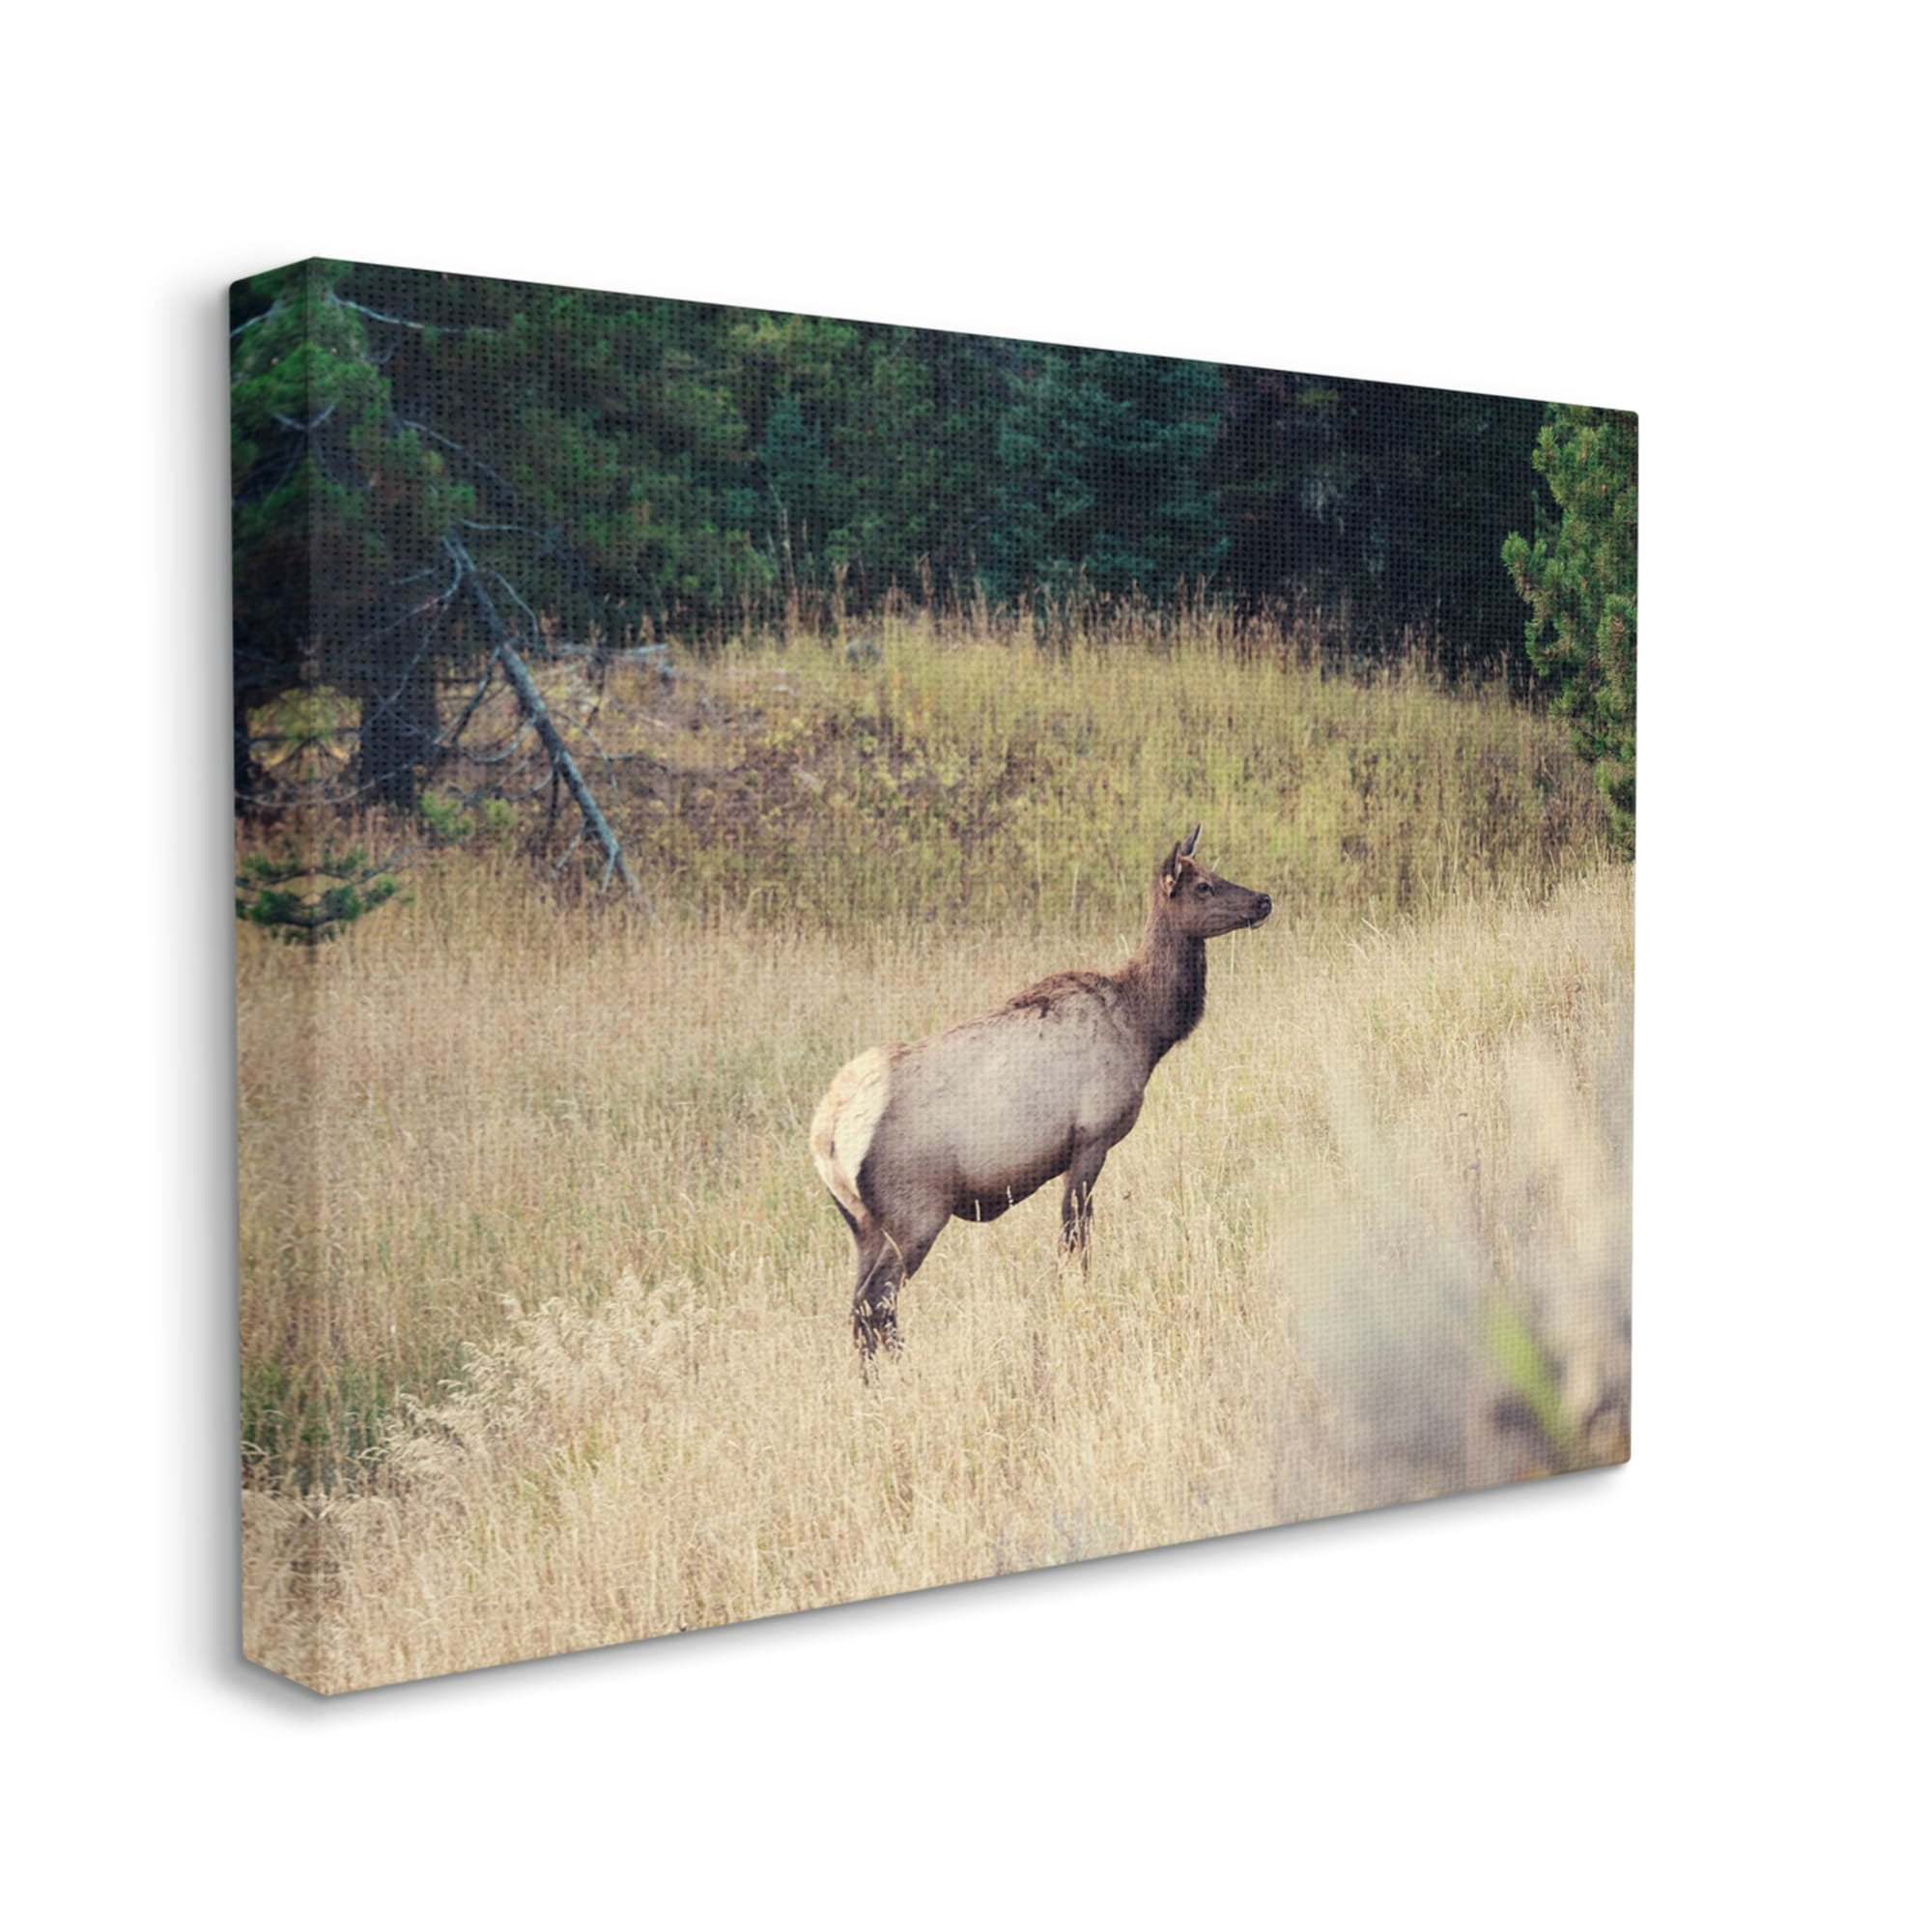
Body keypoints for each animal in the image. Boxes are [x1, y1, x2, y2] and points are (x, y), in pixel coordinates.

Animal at [809, 827, 1272, 1356]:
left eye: (1215, 872)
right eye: (1203, 887)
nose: (1264, 899)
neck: (1146, 1029)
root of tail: (827, 1135)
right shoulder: (1092, 1137)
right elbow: (1075, 1235)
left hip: (862, 1223)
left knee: (859, 1305)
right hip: (915, 1212)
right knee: (875, 1301)